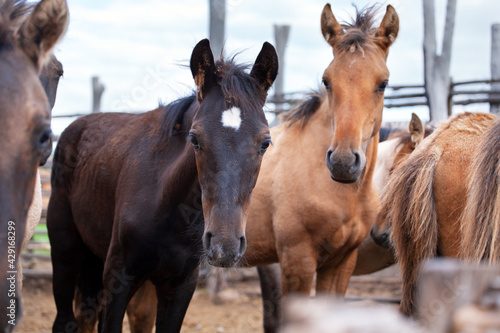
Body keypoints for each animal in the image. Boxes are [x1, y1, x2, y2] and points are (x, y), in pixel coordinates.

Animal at [47, 39, 278, 332]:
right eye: (195, 138)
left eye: (265, 143)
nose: (224, 246)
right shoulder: (117, 277)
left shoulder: (180, 285)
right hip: (66, 250)